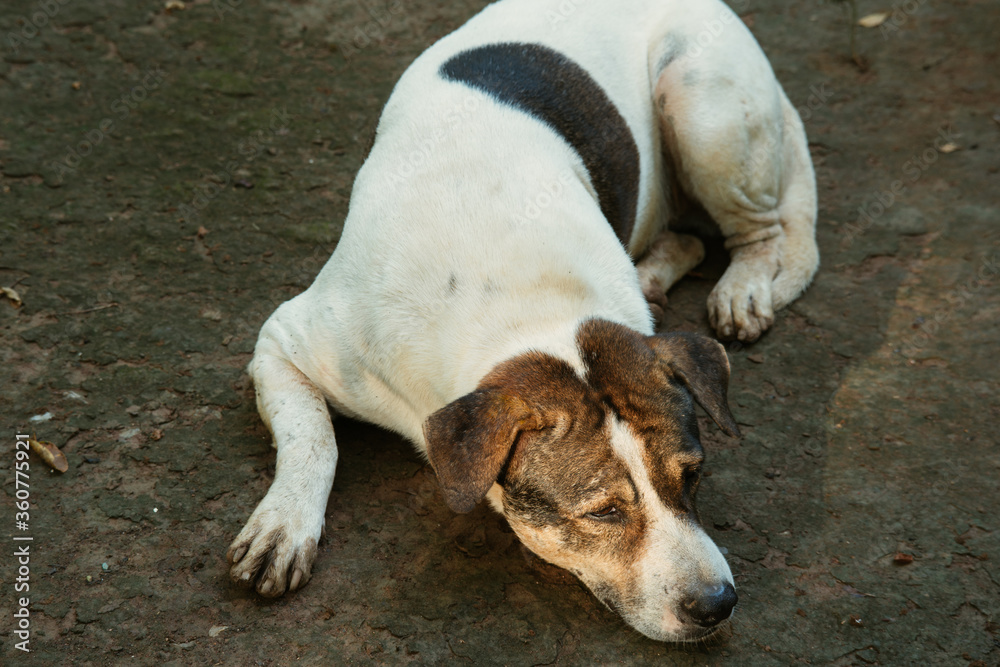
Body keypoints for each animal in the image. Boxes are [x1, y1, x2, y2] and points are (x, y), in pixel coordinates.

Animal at [229, 0, 820, 644]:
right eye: (604, 511)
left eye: (693, 475)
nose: (717, 604)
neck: (525, 304)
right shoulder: (286, 341)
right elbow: (311, 435)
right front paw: (284, 525)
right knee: (691, 237)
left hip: (700, 102)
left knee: (757, 232)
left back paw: (742, 286)